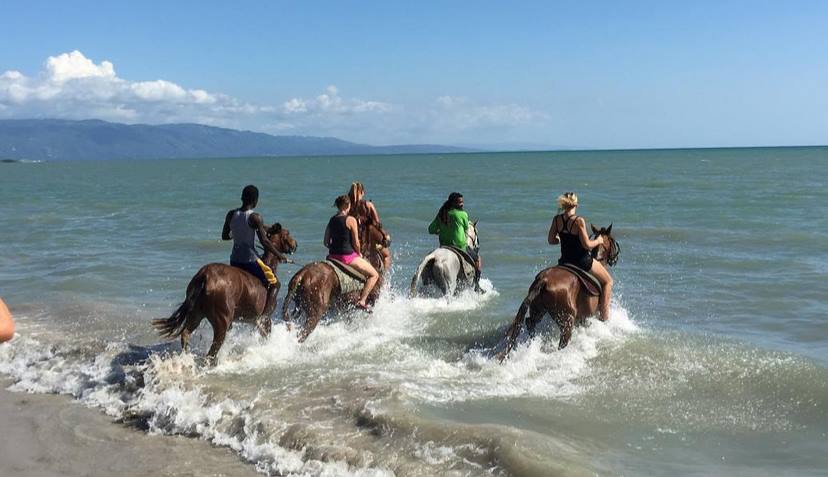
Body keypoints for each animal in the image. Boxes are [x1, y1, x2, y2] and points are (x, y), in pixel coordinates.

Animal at [152, 223, 298, 360]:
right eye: (287, 233)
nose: (295, 244)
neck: (268, 265)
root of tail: (205, 276)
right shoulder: (264, 320)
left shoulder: (254, 322)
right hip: (221, 324)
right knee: (211, 354)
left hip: (196, 314)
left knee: (186, 334)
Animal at [494, 224, 616, 360]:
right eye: (612, 240)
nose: (615, 258)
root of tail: (543, 280)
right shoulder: (588, 316)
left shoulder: (582, 319)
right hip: (566, 320)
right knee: (563, 341)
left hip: (539, 310)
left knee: (530, 323)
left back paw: (533, 342)